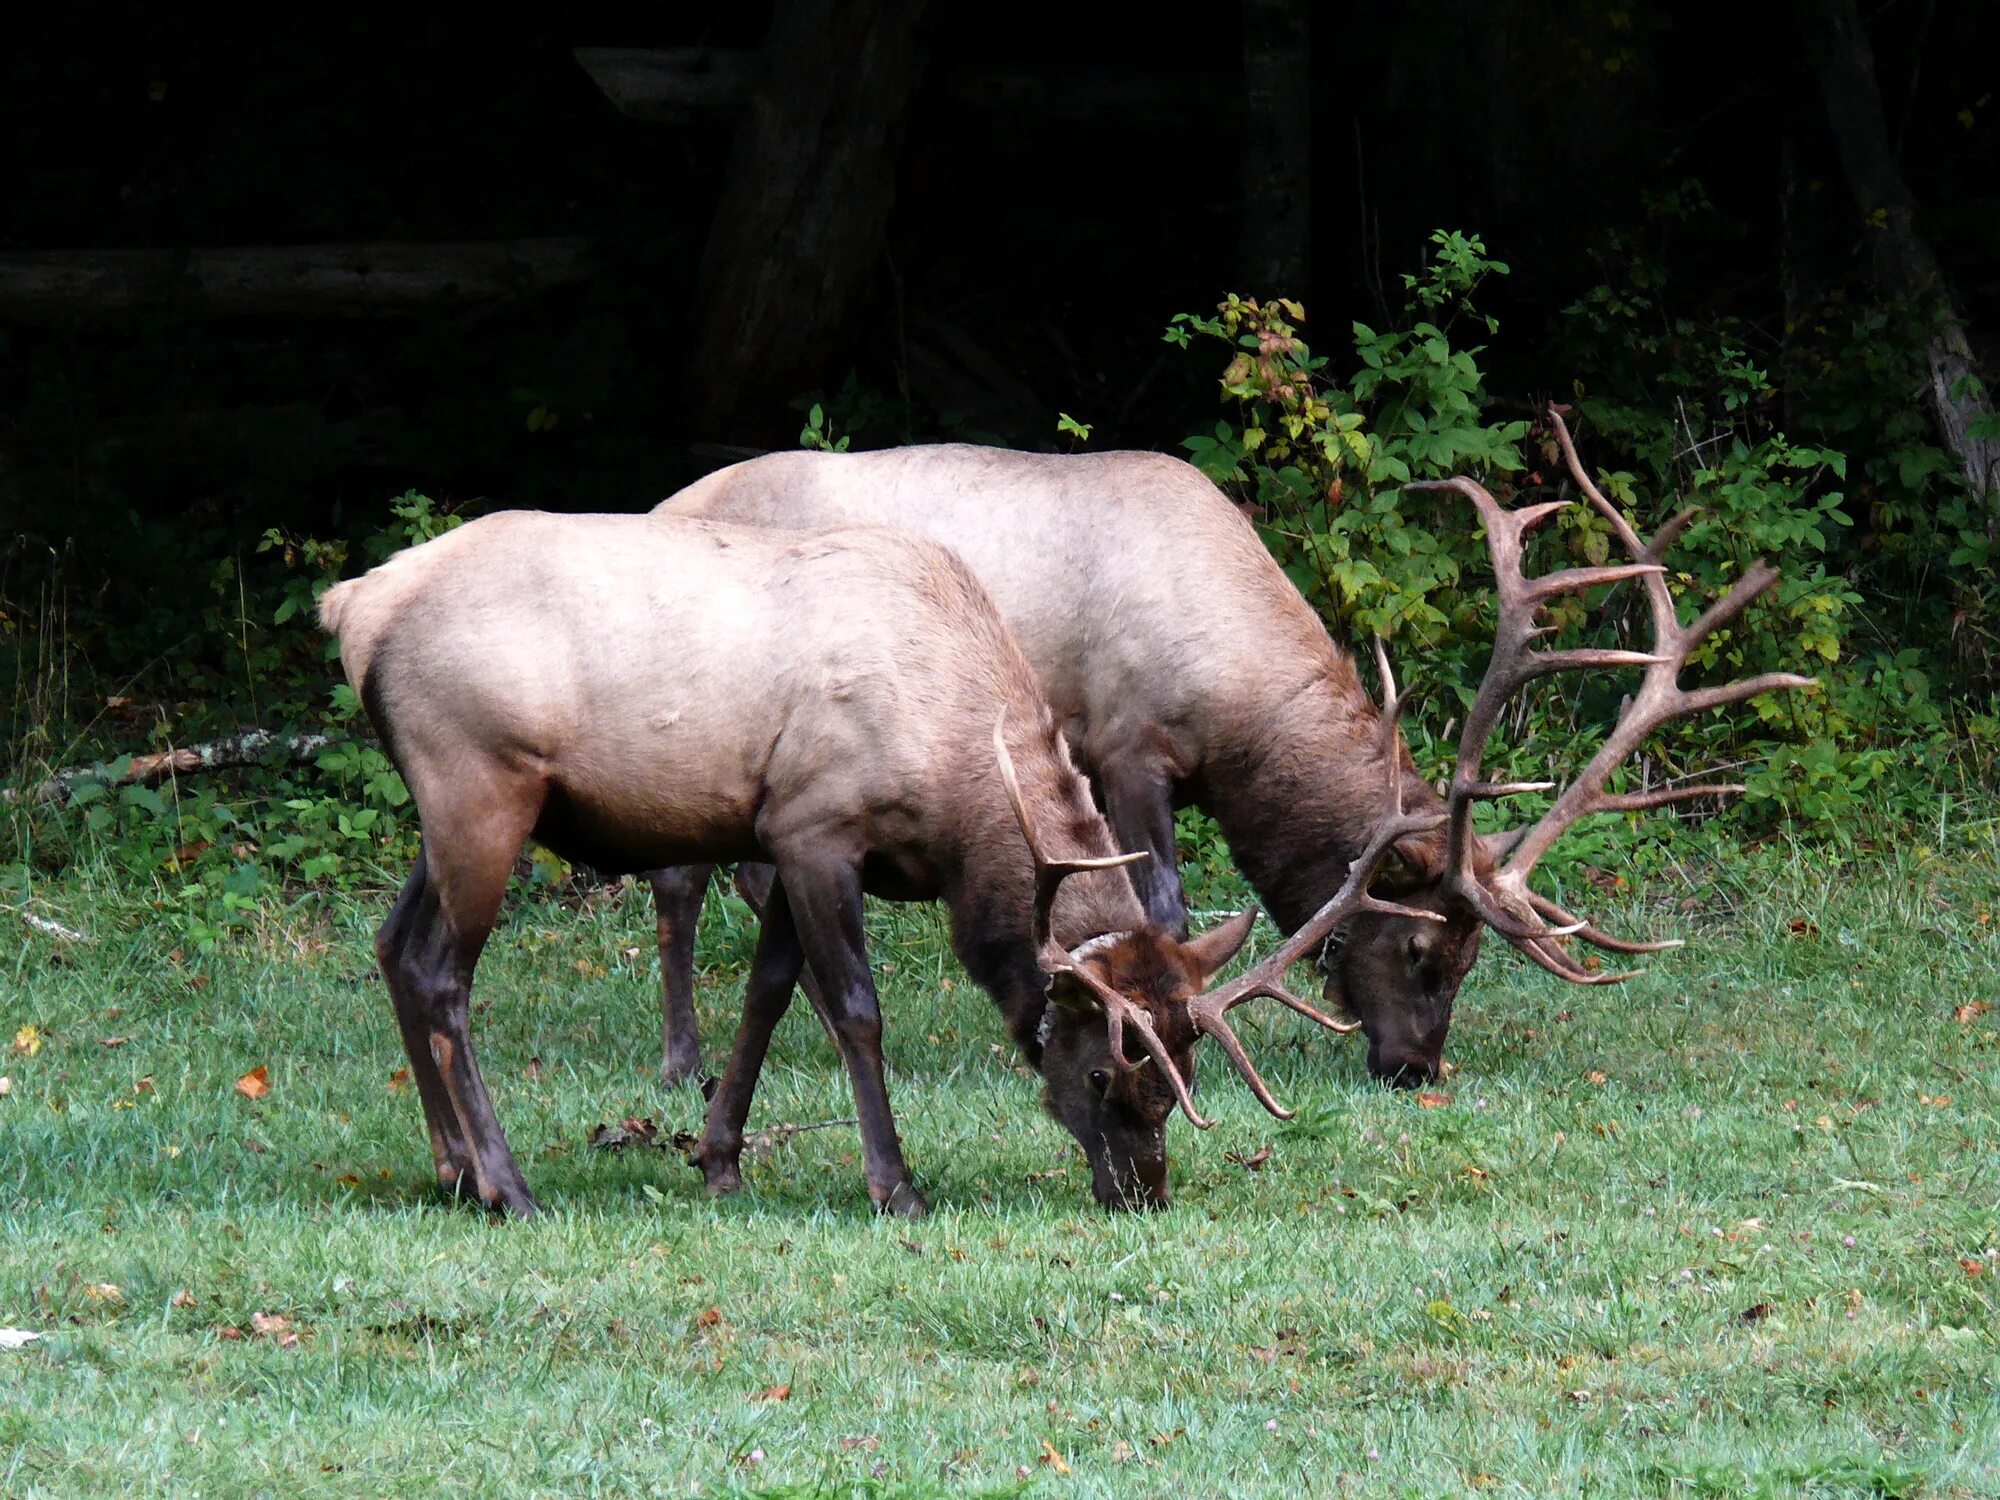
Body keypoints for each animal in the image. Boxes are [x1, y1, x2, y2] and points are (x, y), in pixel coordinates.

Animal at [312, 516, 1408, 1224]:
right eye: (1101, 1069)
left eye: (1185, 1061)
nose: (1145, 1190)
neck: (960, 789)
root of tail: (354, 606)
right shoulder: (814, 825)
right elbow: (851, 1009)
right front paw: (895, 1184)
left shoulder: (783, 834)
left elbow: (764, 993)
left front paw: (719, 1159)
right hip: (479, 782)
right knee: (442, 974)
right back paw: (507, 1186)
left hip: (453, 811)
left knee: (393, 946)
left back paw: (451, 1169)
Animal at [644, 412, 1816, 1096]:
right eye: (1422, 952)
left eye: (1470, 963)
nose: (1415, 1067)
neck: (1236, 700)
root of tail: (663, 500)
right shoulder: (1124, 743)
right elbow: (1158, 902)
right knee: (680, 878)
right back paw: (683, 1061)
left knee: (741, 876)